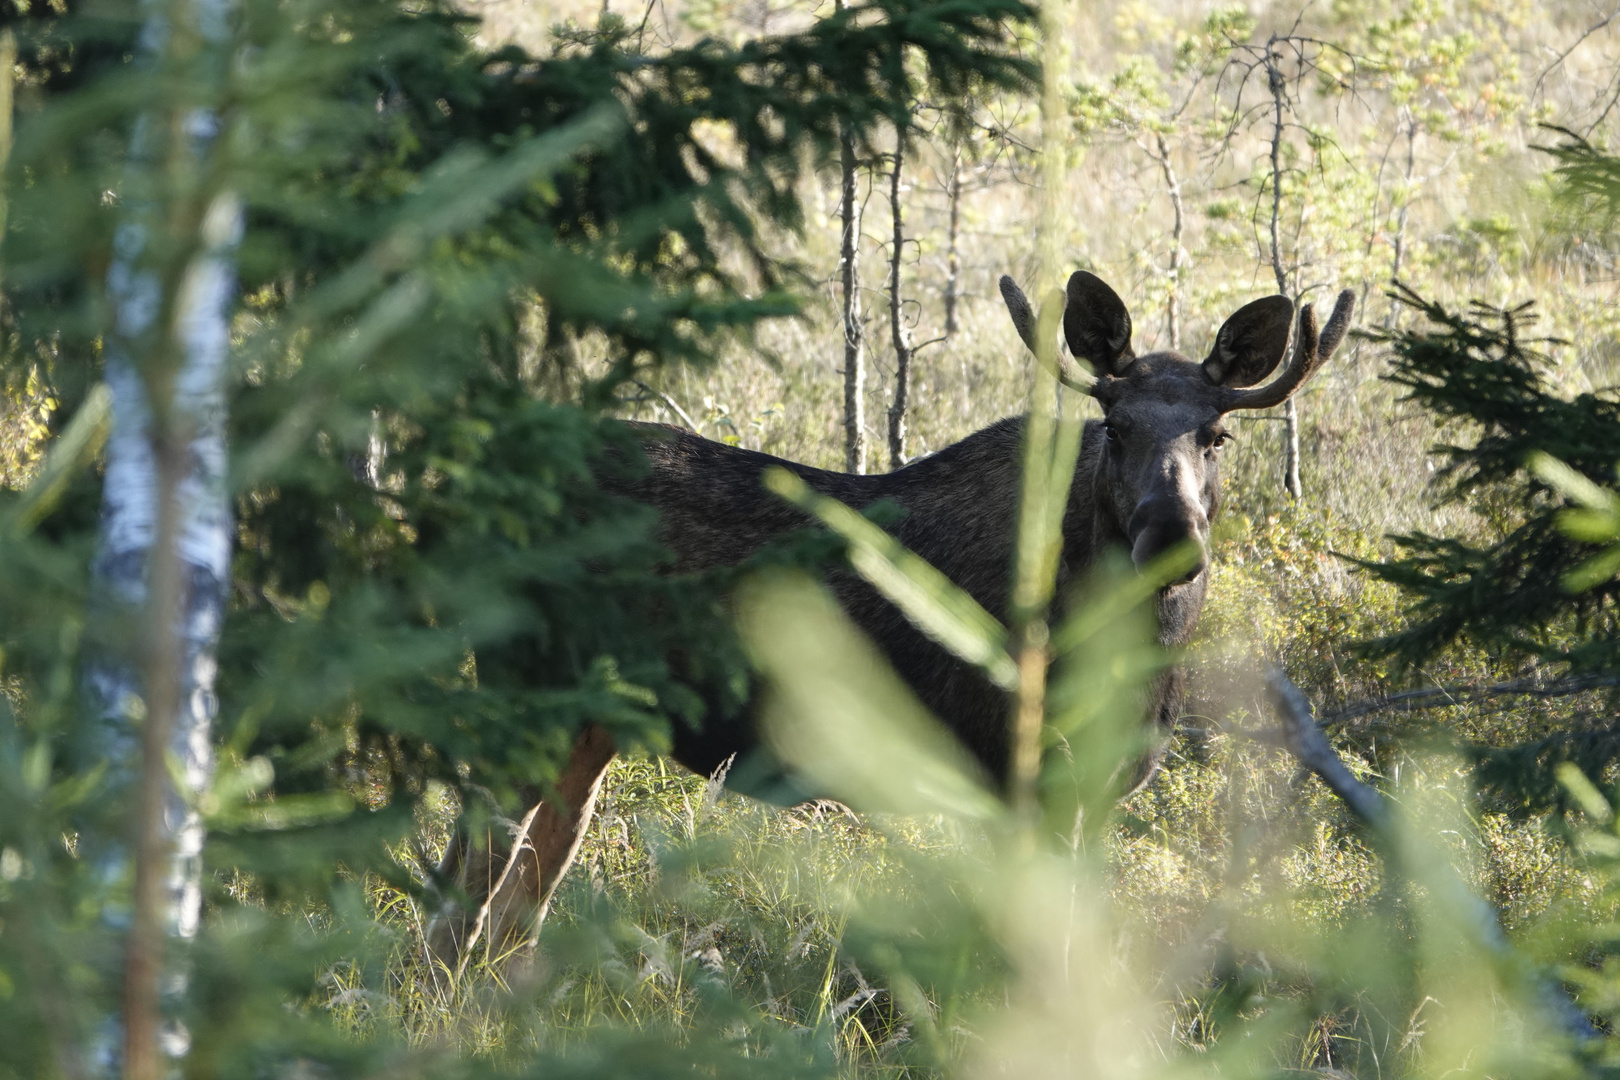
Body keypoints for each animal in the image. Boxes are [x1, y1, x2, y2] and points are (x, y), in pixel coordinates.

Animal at [421, 268, 1354, 965]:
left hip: (592, 725)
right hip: (523, 697)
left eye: (1217, 437)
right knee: (459, 898)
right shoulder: (1020, 775)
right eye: (1116, 426)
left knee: (518, 900)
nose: (1170, 536)